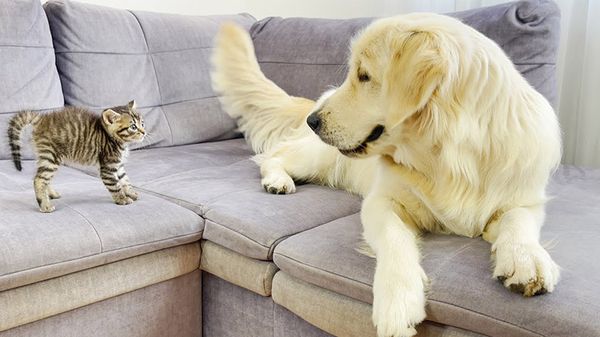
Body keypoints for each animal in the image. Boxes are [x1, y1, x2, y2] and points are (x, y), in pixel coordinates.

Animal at [7, 98, 145, 213]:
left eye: (142, 123)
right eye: (133, 126)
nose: (144, 132)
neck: (112, 138)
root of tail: (41, 119)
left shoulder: (118, 165)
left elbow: (125, 180)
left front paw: (131, 193)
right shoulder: (108, 167)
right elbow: (115, 185)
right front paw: (122, 199)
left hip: (45, 156)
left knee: (43, 177)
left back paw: (51, 194)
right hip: (51, 156)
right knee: (39, 179)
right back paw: (45, 205)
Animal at [212, 11, 564, 334]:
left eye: (364, 75)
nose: (314, 121)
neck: (449, 158)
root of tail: (316, 99)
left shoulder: (524, 199)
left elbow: (518, 220)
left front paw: (525, 260)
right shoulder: (382, 201)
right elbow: (395, 237)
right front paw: (397, 302)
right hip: (319, 156)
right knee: (272, 156)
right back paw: (277, 180)